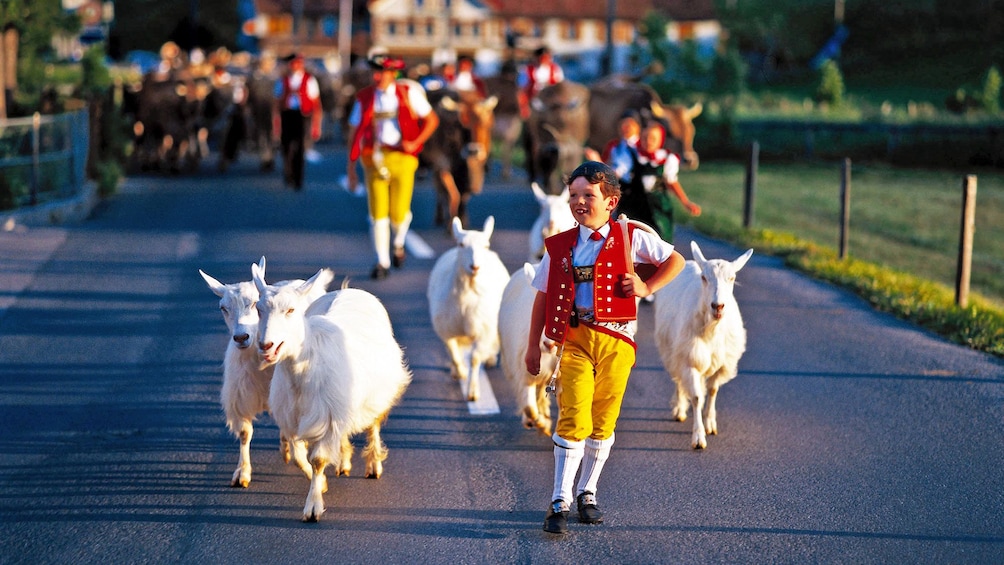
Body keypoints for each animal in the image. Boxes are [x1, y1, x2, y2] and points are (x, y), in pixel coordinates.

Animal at [197, 258, 331, 487]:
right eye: (223, 308)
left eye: (253, 303)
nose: (241, 337)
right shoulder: (241, 396)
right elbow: (244, 432)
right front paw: (242, 472)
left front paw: (311, 473)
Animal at [255, 264, 411, 521]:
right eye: (258, 309)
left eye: (291, 310)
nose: (265, 345)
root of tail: (348, 289)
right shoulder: (294, 418)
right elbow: (298, 458)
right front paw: (322, 484)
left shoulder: (327, 416)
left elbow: (317, 459)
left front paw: (313, 507)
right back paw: (344, 462)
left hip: (377, 394)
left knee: (373, 425)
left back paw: (373, 465)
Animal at [429, 215, 510, 401]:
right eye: (461, 244)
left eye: (486, 245)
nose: (475, 267)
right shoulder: (447, 330)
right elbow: (454, 353)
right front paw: (460, 373)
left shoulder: (483, 331)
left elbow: (474, 358)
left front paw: (472, 392)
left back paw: (490, 358)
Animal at [654, 241, 750, 451]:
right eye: (704, 278)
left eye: (732, 278)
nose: (718, 306)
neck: (712, 330)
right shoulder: (690, 360)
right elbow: (697, 397)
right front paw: (698, 438)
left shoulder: (722, 364)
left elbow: (713, 391)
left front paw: (710, 424)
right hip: (674, 350)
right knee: (678, 379)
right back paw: (679, 409)